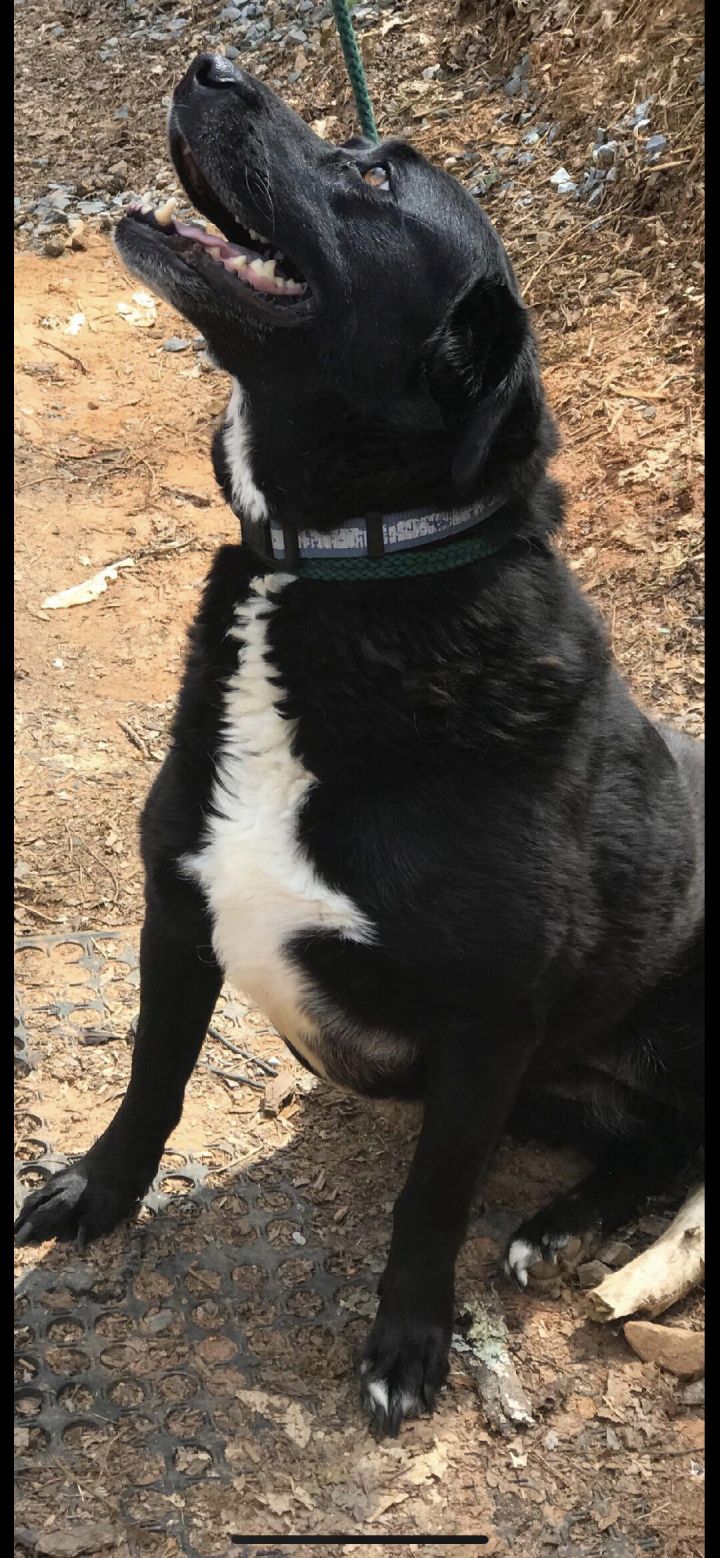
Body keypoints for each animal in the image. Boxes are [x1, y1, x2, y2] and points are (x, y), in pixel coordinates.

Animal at [15, 57, 704, 1433]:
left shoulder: (489, 1021)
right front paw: (100, 1192)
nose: (216, 63)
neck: (340, 569)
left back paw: (567, 1231)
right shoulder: (179, 907)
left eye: (378, 178)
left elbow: (430, 1198)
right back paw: (566, 1219)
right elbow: (151, 1079)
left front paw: (406, 1343)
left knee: (684, 1148)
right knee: (651, 1139)